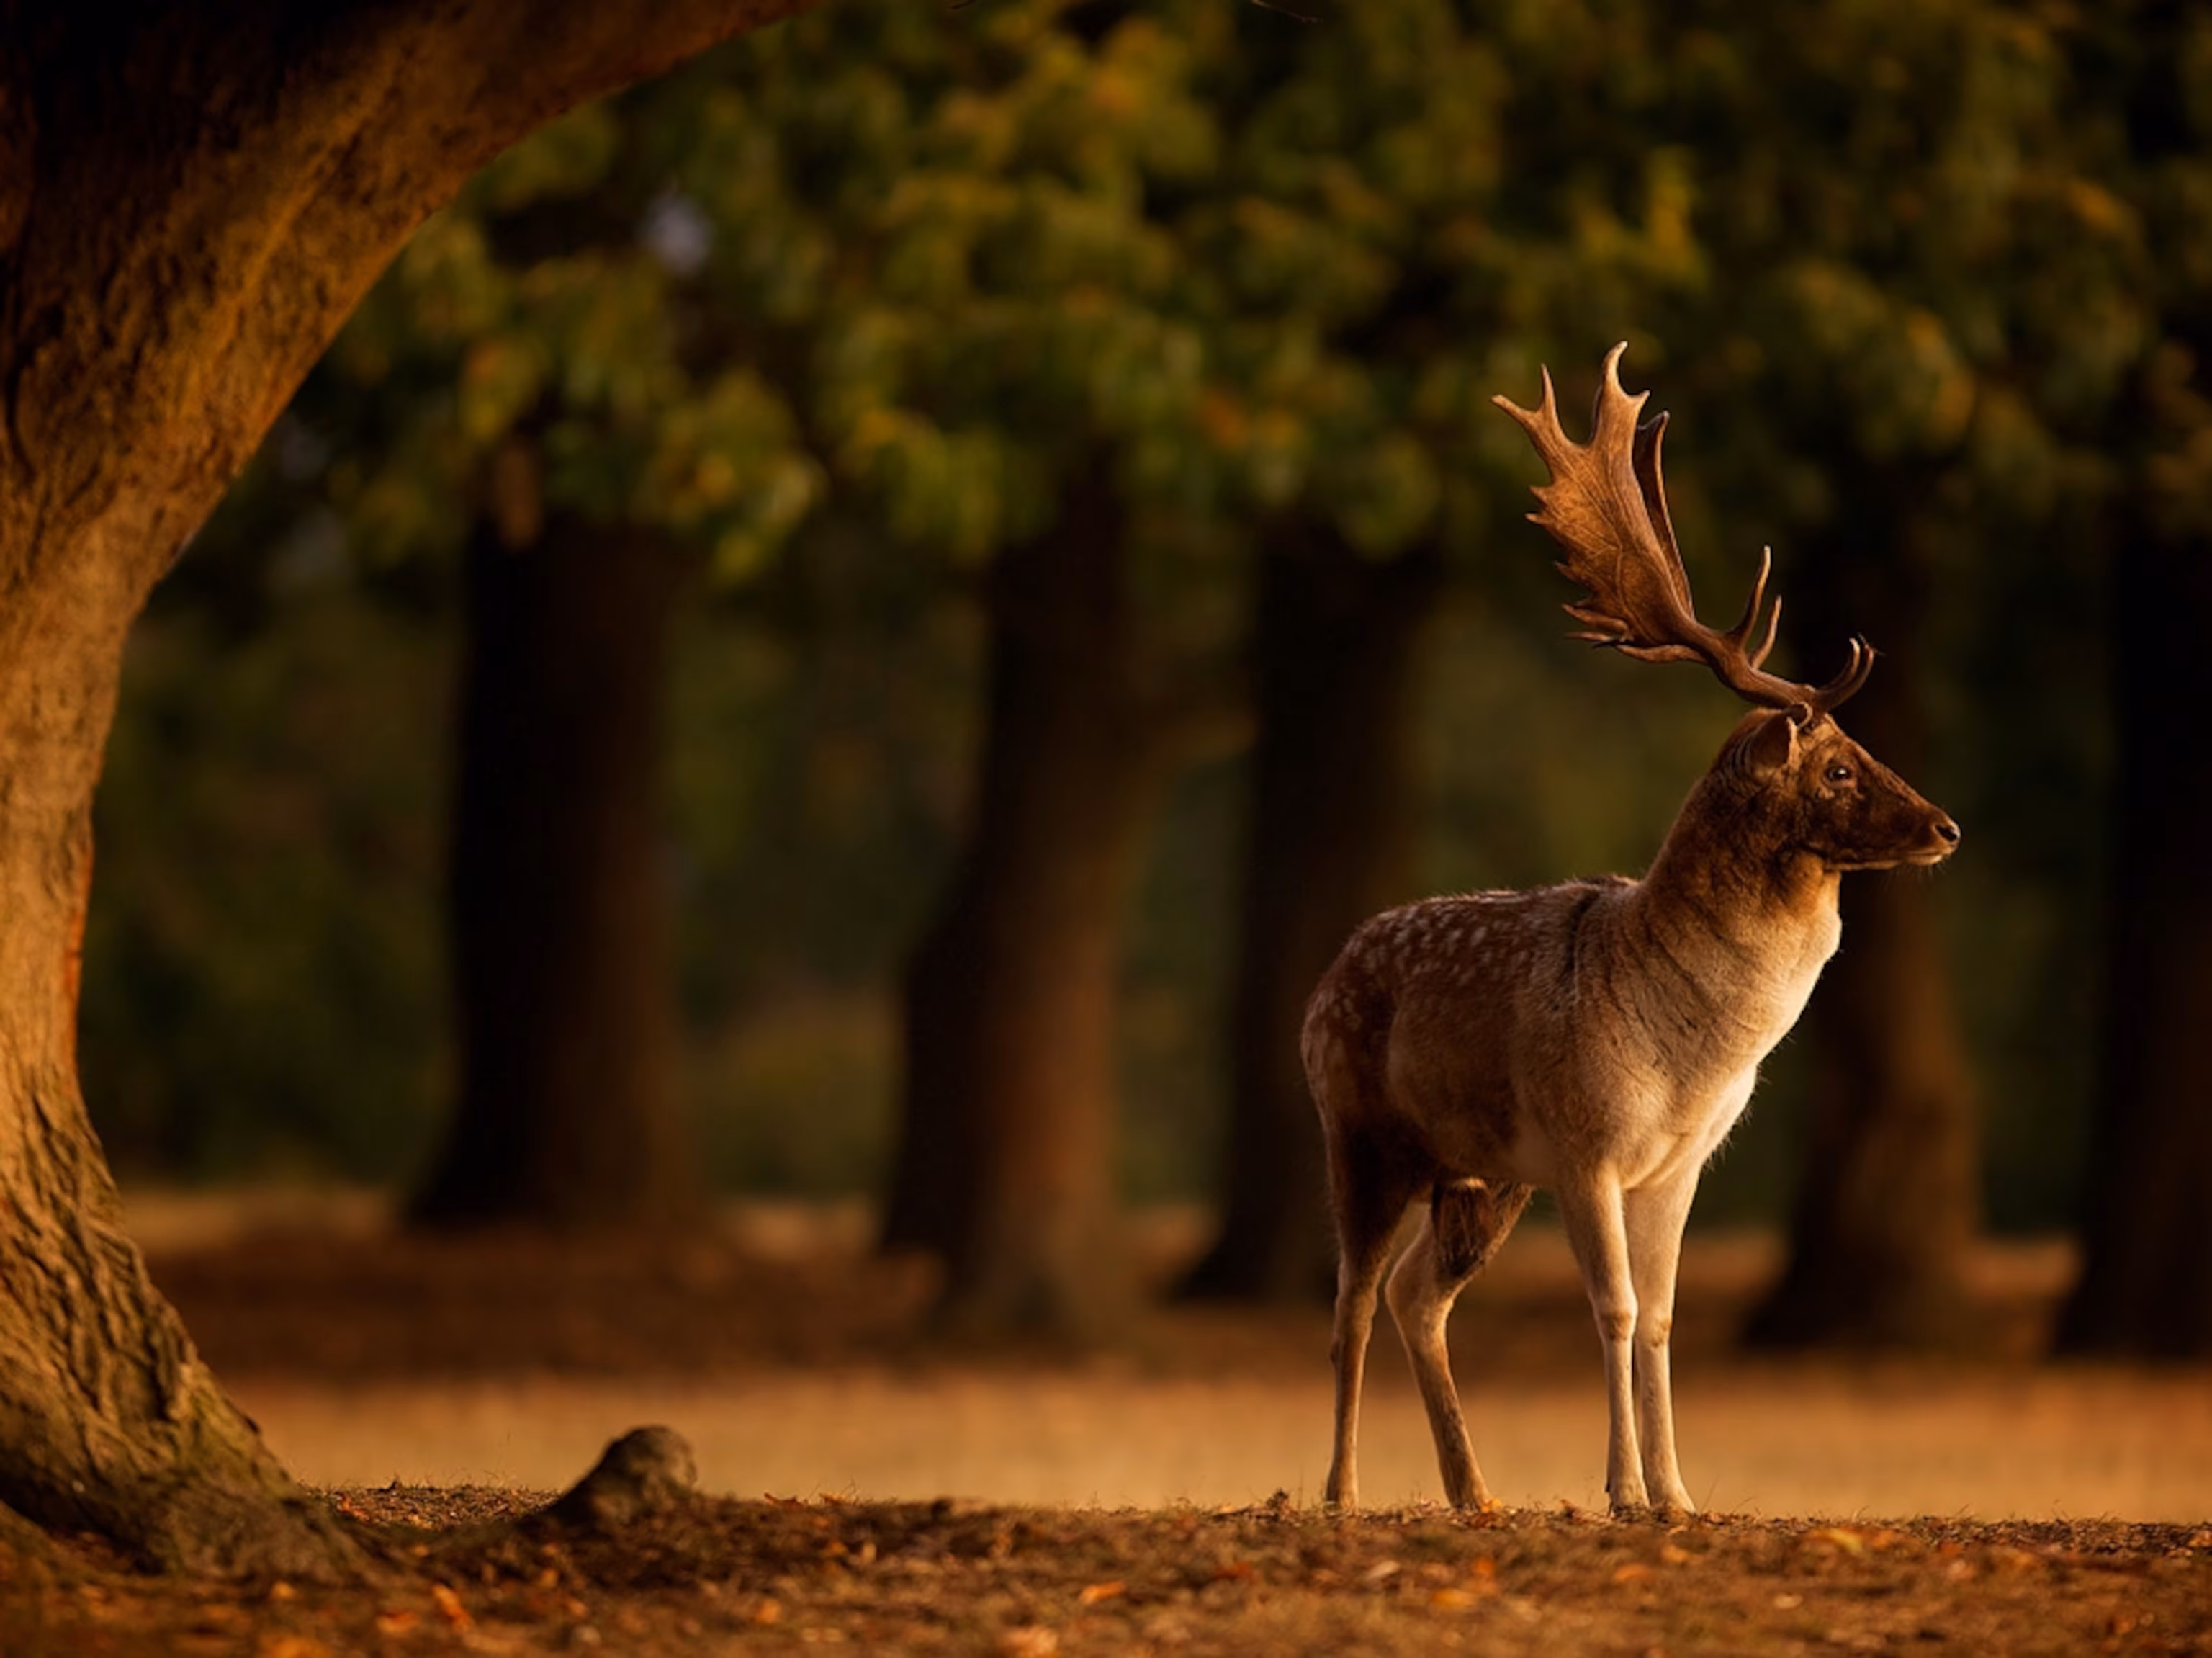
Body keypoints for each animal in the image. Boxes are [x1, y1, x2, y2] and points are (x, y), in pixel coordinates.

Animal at [1304, 344, 1961, 1518]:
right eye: (1838, 767)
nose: (1946, 825)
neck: (1695, 1056)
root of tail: (1321, 982)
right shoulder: (1588, 1143)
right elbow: (1610, 1311)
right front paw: (1618, 1487)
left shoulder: (1676, 1164)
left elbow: (1659, 1319)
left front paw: (1677, 1492)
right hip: (1363, 1130)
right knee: (1350, 1303)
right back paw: (1339, 1490)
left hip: (1483, 1171)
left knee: (1419, 1294)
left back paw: (1476, 1491)